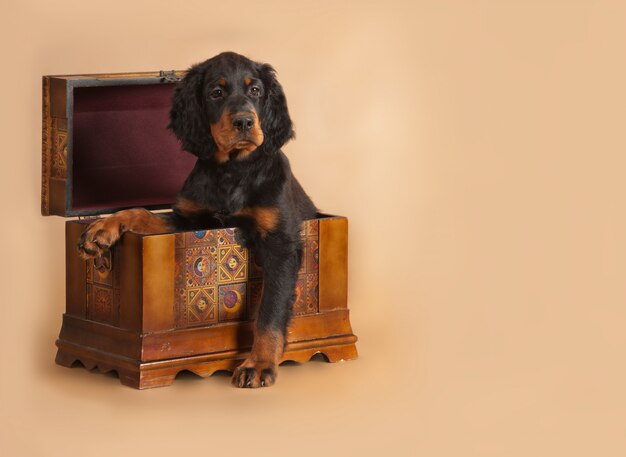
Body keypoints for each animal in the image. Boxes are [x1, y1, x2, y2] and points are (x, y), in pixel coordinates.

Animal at [78, 52, 316, 388]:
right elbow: (143, 213)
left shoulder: (281, 243)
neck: (232, 170)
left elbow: (271, 307)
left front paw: (258, 364)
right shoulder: (190, 221)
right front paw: (104, 227)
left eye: (255, 90)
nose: (245, 122)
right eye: (216, 93)